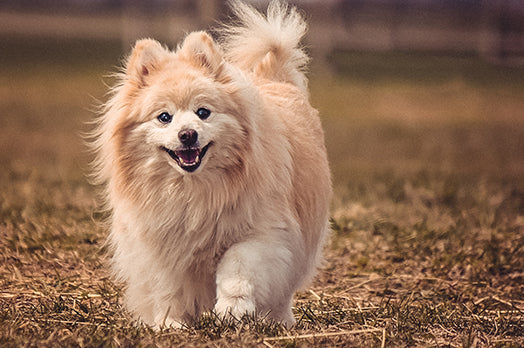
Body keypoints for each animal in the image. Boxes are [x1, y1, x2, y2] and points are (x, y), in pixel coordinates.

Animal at [92, 0, 332, 328]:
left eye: (203, 112)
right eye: (164, 117)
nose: (187, 134)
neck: (193, 191)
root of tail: (275, 78)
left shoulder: (263, 232)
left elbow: (237, 266)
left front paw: (233, 309)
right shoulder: (160, 245)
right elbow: (168, 287)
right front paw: (170, 324)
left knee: (282, 291)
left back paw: (279, 321)